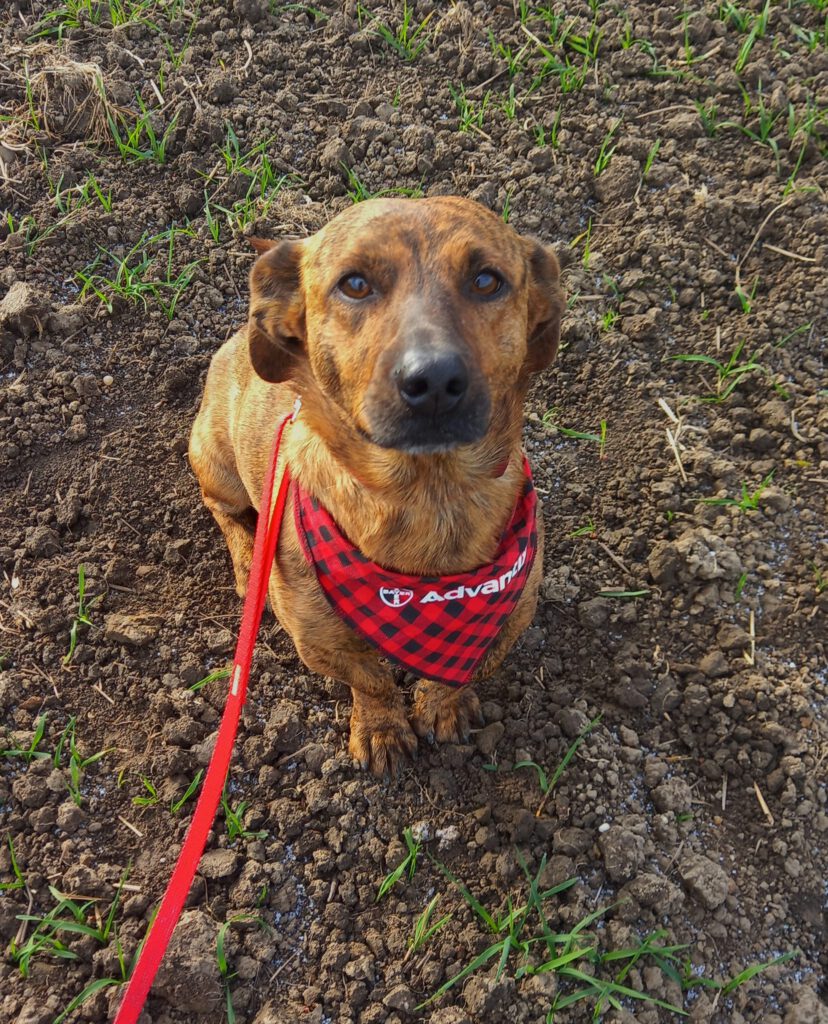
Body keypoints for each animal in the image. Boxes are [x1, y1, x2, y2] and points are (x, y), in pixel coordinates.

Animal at [187, 197, 560, 774]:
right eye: (355, 284)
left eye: (486, 280)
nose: (433, 380)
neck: (428, 497)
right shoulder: (322, 642)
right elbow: (372, 680)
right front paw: (382, 730)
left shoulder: (514, 614)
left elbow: (465, 670)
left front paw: (443, 705)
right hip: (216, 461)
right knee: (225, 512)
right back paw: (250, 562)